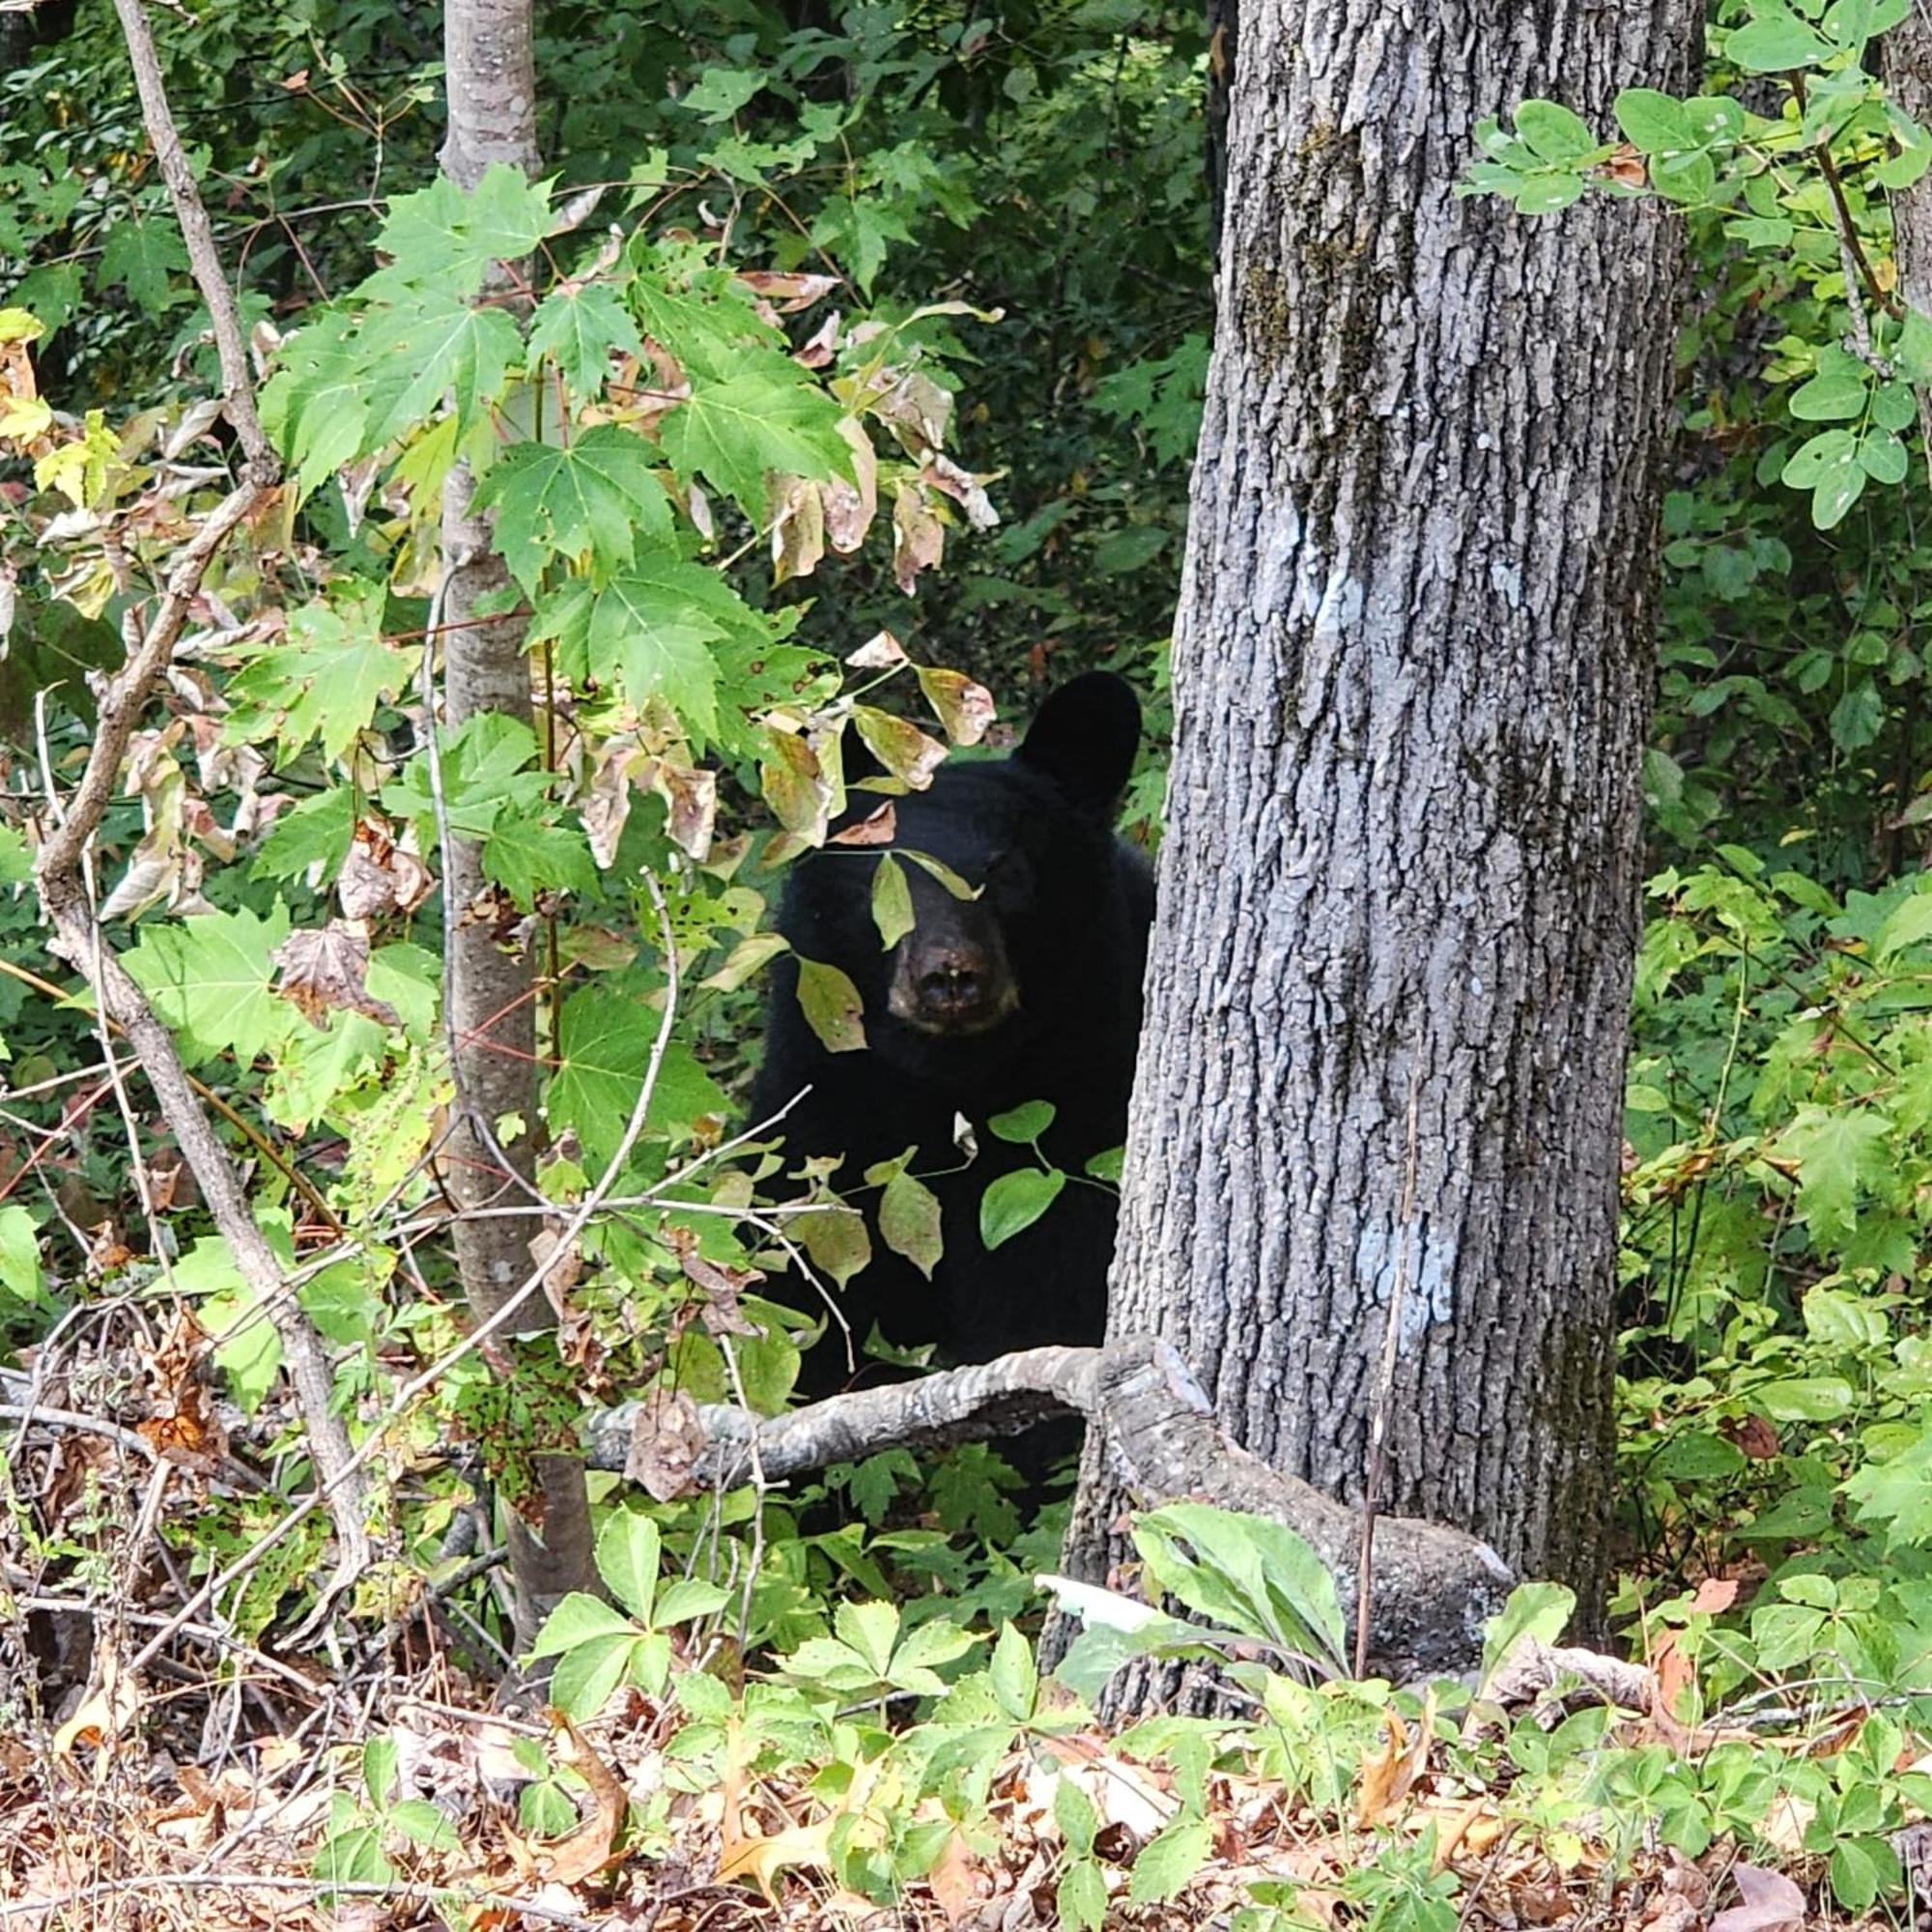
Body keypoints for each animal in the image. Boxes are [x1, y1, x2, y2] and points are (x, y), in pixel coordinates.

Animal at [750, 672, 1144, 1399]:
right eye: (883, 870)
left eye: (1009, 871)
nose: (951, 975)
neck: (945, 1081)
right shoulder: (827, 1114)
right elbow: (805, 1297)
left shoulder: (1082, 1114)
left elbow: (1052, 1297)